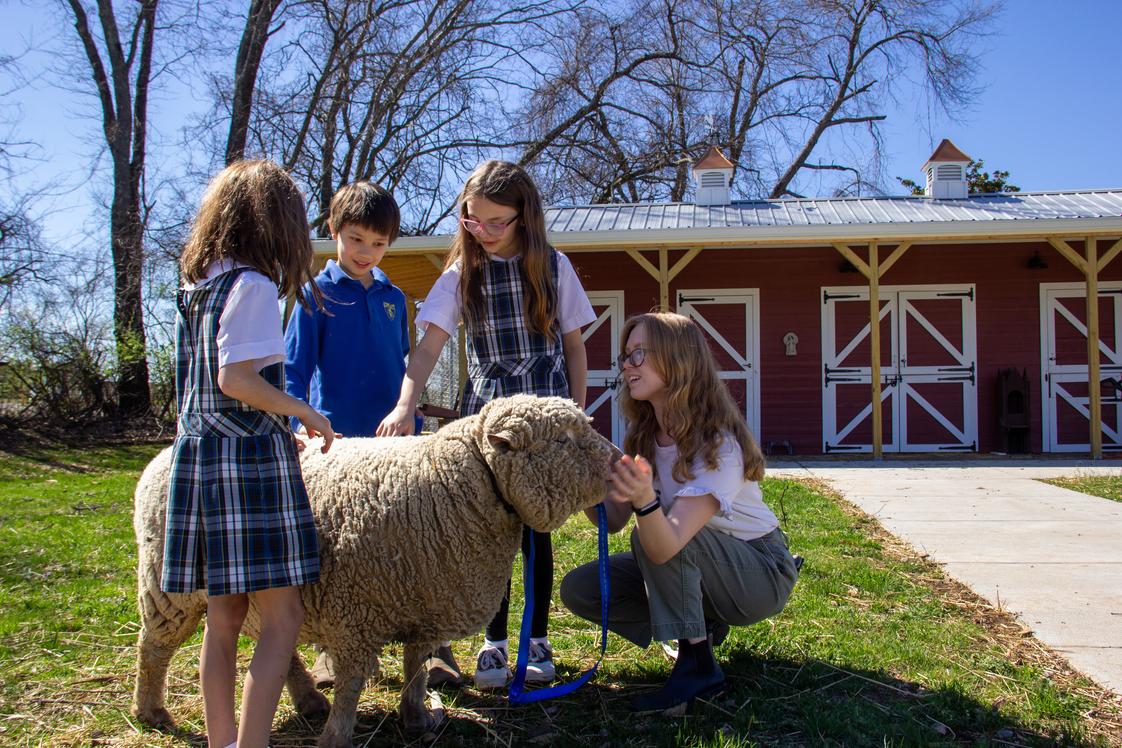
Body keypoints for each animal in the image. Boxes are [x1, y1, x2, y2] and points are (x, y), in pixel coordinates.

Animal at [134, 394, 619, 744]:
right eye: (561, 440)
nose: (619, 463)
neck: (457, 484)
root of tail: (163, 454)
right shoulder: (355, 614)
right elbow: (351, 685)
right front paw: (337, 737)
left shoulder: (425, 606)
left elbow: (415, 668)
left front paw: (417, 718)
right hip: (169, 588)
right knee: (154, 647)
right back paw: (152, 712)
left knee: (281, 648)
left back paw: (309, 701)